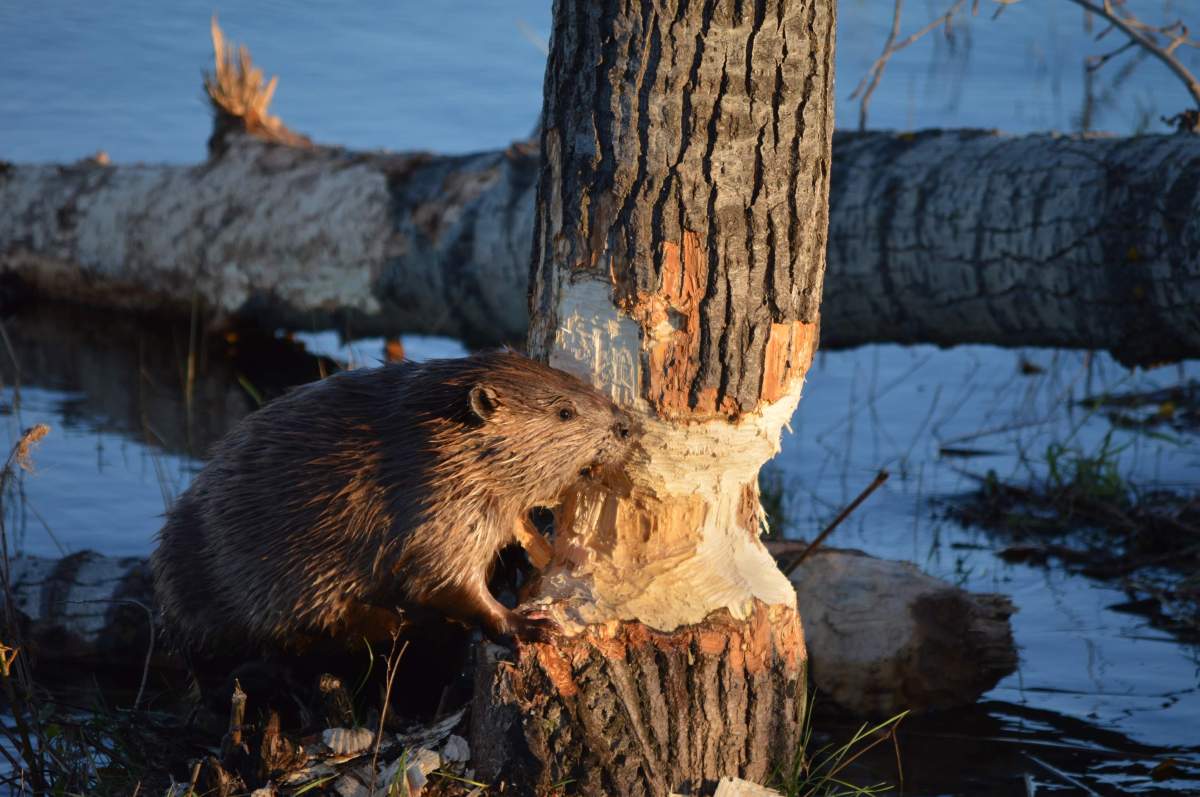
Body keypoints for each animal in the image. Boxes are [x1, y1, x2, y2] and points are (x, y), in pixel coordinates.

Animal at [150, 351, 636, 651]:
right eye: (564, 411)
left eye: (577, 383)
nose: (624, 425)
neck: (429, 442)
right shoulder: (431, 504)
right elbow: (441, 580)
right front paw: (528, 624)